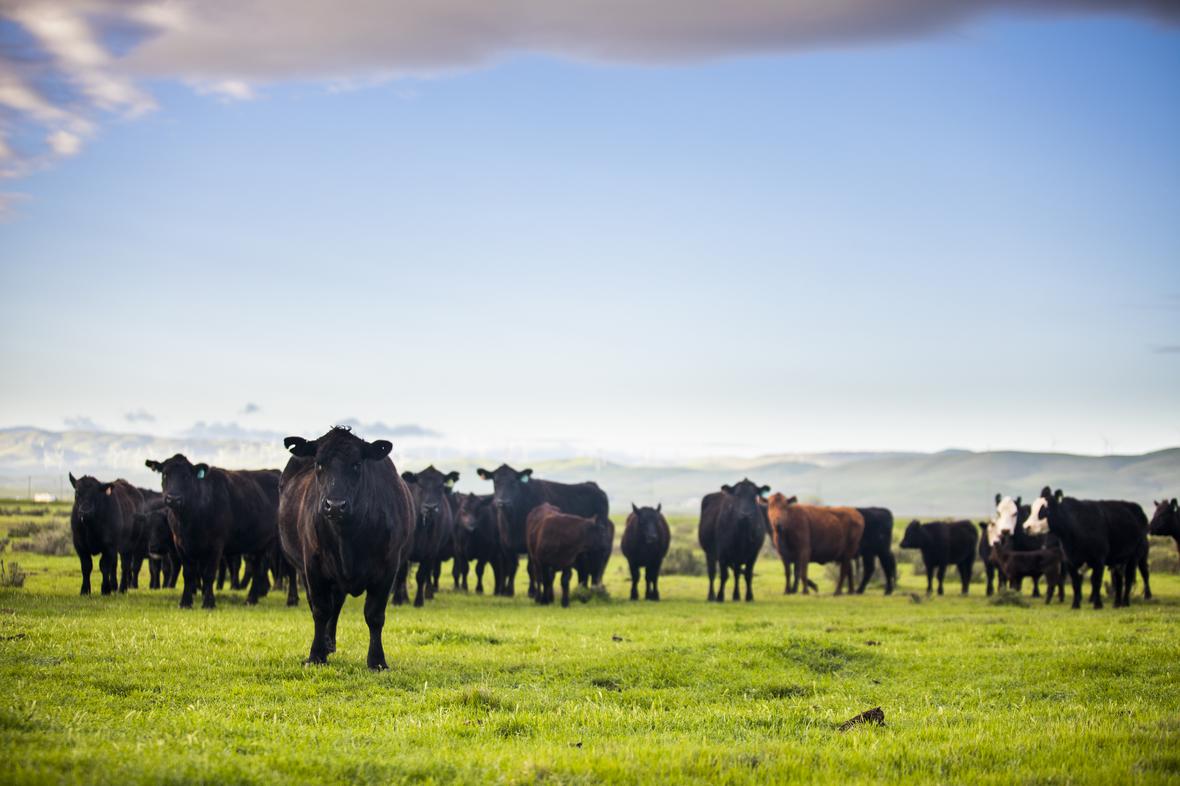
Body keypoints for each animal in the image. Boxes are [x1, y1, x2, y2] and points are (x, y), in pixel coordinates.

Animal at [142, 453, 278, 604]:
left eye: (186, 476)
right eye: (165, 474)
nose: (173, 499)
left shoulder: (216, 545)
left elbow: (209, 574)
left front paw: (208, 602)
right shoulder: (180, 545)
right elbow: (189, 574)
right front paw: (186, 602)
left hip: (271, 542)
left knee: (261, 568)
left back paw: (254, 598)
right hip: (256, 543)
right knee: (256, 566)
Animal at [278, 429, 412, 665]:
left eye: (357, 464)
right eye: (319, 464)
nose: (335, 505)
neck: (347, 538)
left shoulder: (388, 568)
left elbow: (374, 615)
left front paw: (377, 660)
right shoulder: (312, 566)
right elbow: (321, 610)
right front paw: (316, 655)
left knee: (337, 605)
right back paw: (325, 644)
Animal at [391, 464, 455, 604]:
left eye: (440, 486)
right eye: (420, 485)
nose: (430, 507)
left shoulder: (430, 551)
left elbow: (421, 575)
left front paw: (419, 601)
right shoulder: (404, 550)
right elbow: (401, 574)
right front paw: (397, 600)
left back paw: (428, 594)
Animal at [476, 464, 613, 594]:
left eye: (514, 482)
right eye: (495, 481)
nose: (502, 502)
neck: (512, 522)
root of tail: (592, 486)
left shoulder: (531, 545)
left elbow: (531, 569)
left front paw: (532, 591)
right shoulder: (507, 546)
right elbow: (511, 568)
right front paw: (508, 592)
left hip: (598, 544)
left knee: (596, 566)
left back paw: (594, 590)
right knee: (584, 568)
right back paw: (582, 589)